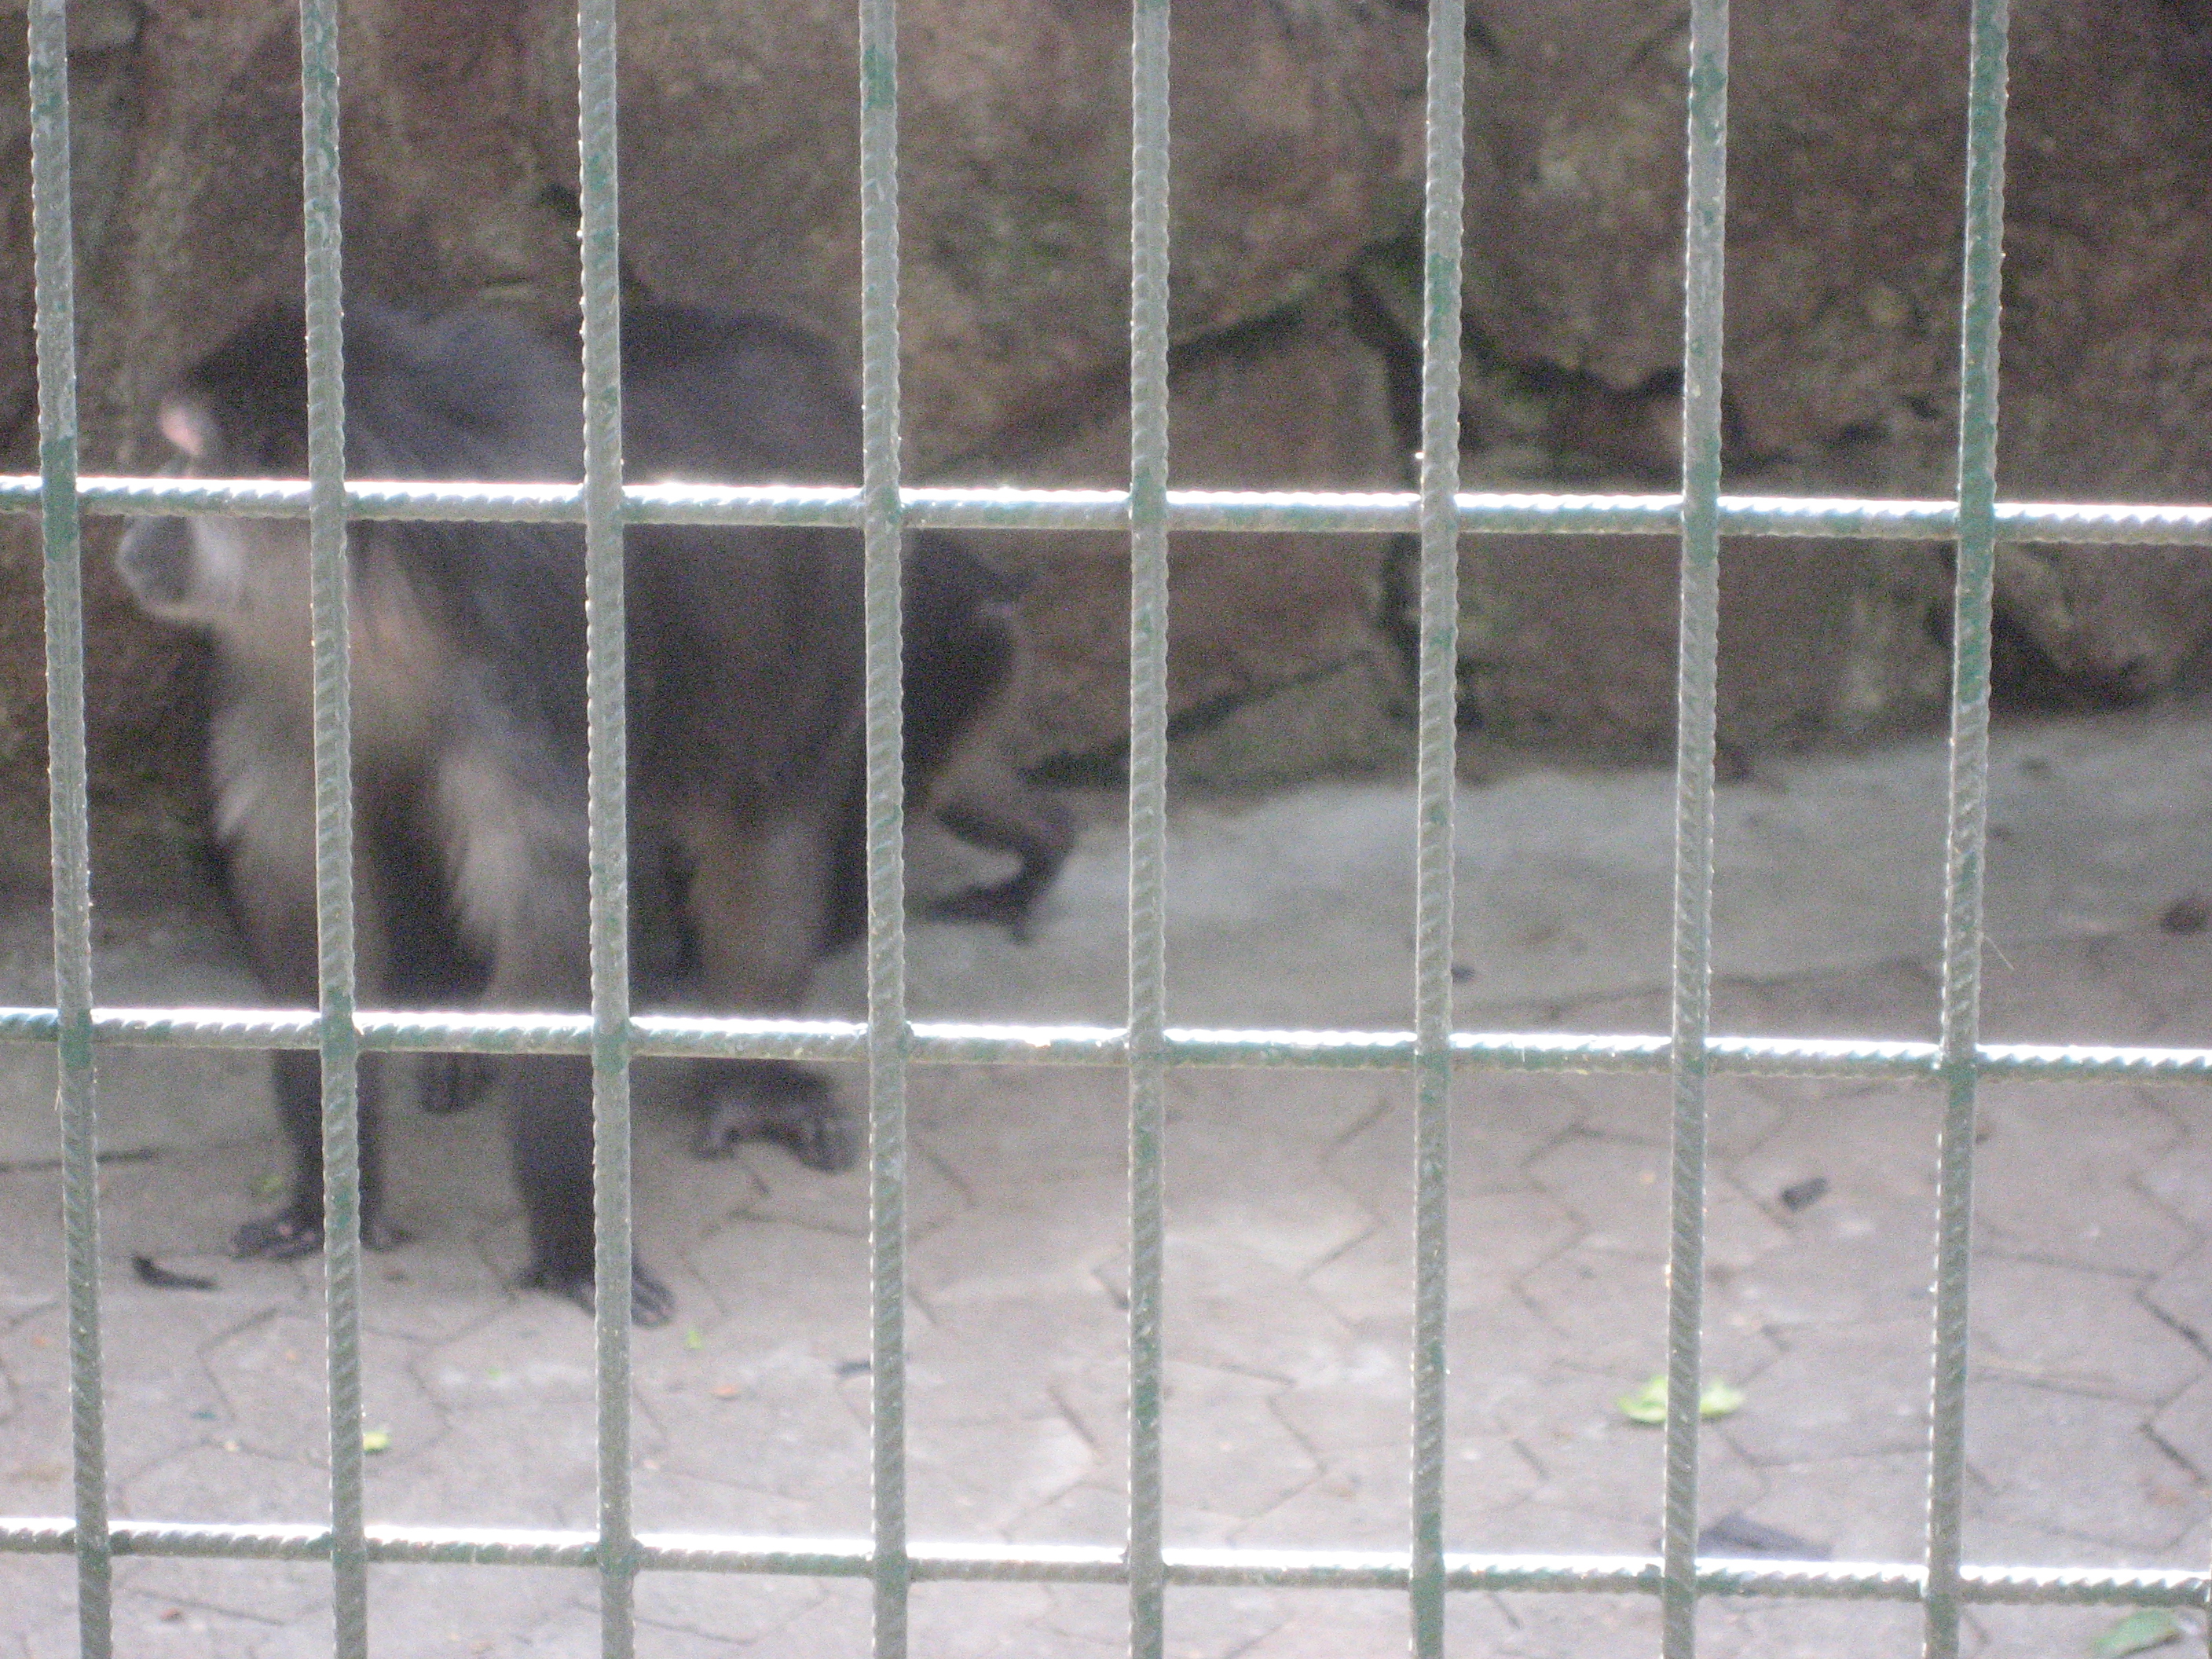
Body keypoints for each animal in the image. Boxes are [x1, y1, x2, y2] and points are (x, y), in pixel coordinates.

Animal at [115, 298, 1047, 1322]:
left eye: (187, 463)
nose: (140, 514)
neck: (385, 609)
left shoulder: (532, 653)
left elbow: (557, 949)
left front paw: (571, 1239)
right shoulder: (281, 669)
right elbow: (309, 926)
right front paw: (326, 1193)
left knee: (766, 821)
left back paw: (749, 1076)